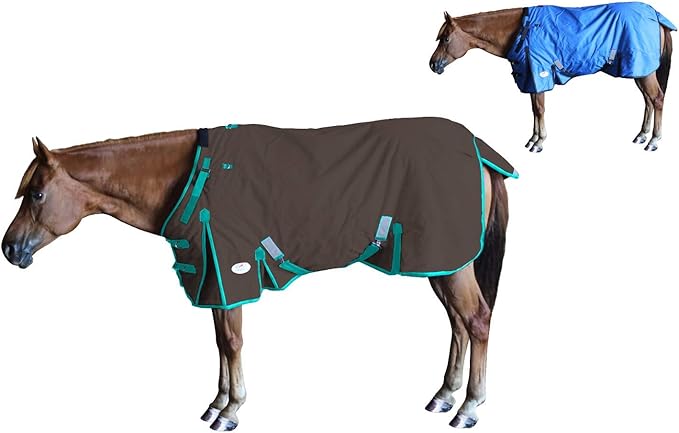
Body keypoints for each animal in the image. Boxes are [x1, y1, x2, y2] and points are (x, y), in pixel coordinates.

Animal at [2, 122, 511, 430]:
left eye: (37, 193)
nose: (9, 249)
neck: (193, 178)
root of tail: (481, 152)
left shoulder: (230, 271)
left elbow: (232, 341)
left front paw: (231, 411)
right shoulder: (213, 279)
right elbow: (220, 342)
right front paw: (217, 403)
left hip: (451, 263)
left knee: (477, 320)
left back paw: (469, 407)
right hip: (439, 263)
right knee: (458, 324)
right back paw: (444, 396)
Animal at [429, 3, 676, 152]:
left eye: (446, 39)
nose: (433, 65)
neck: (523, 30)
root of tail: (655, 15)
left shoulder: (539, 74)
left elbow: (539, 109)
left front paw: (538, 143)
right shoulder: (531, 77)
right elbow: (534, 109)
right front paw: (533, 139)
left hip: (644, 71)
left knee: (657, 99)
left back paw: (654, 141)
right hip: (639, 71)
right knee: (648, 101)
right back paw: (642, 135)